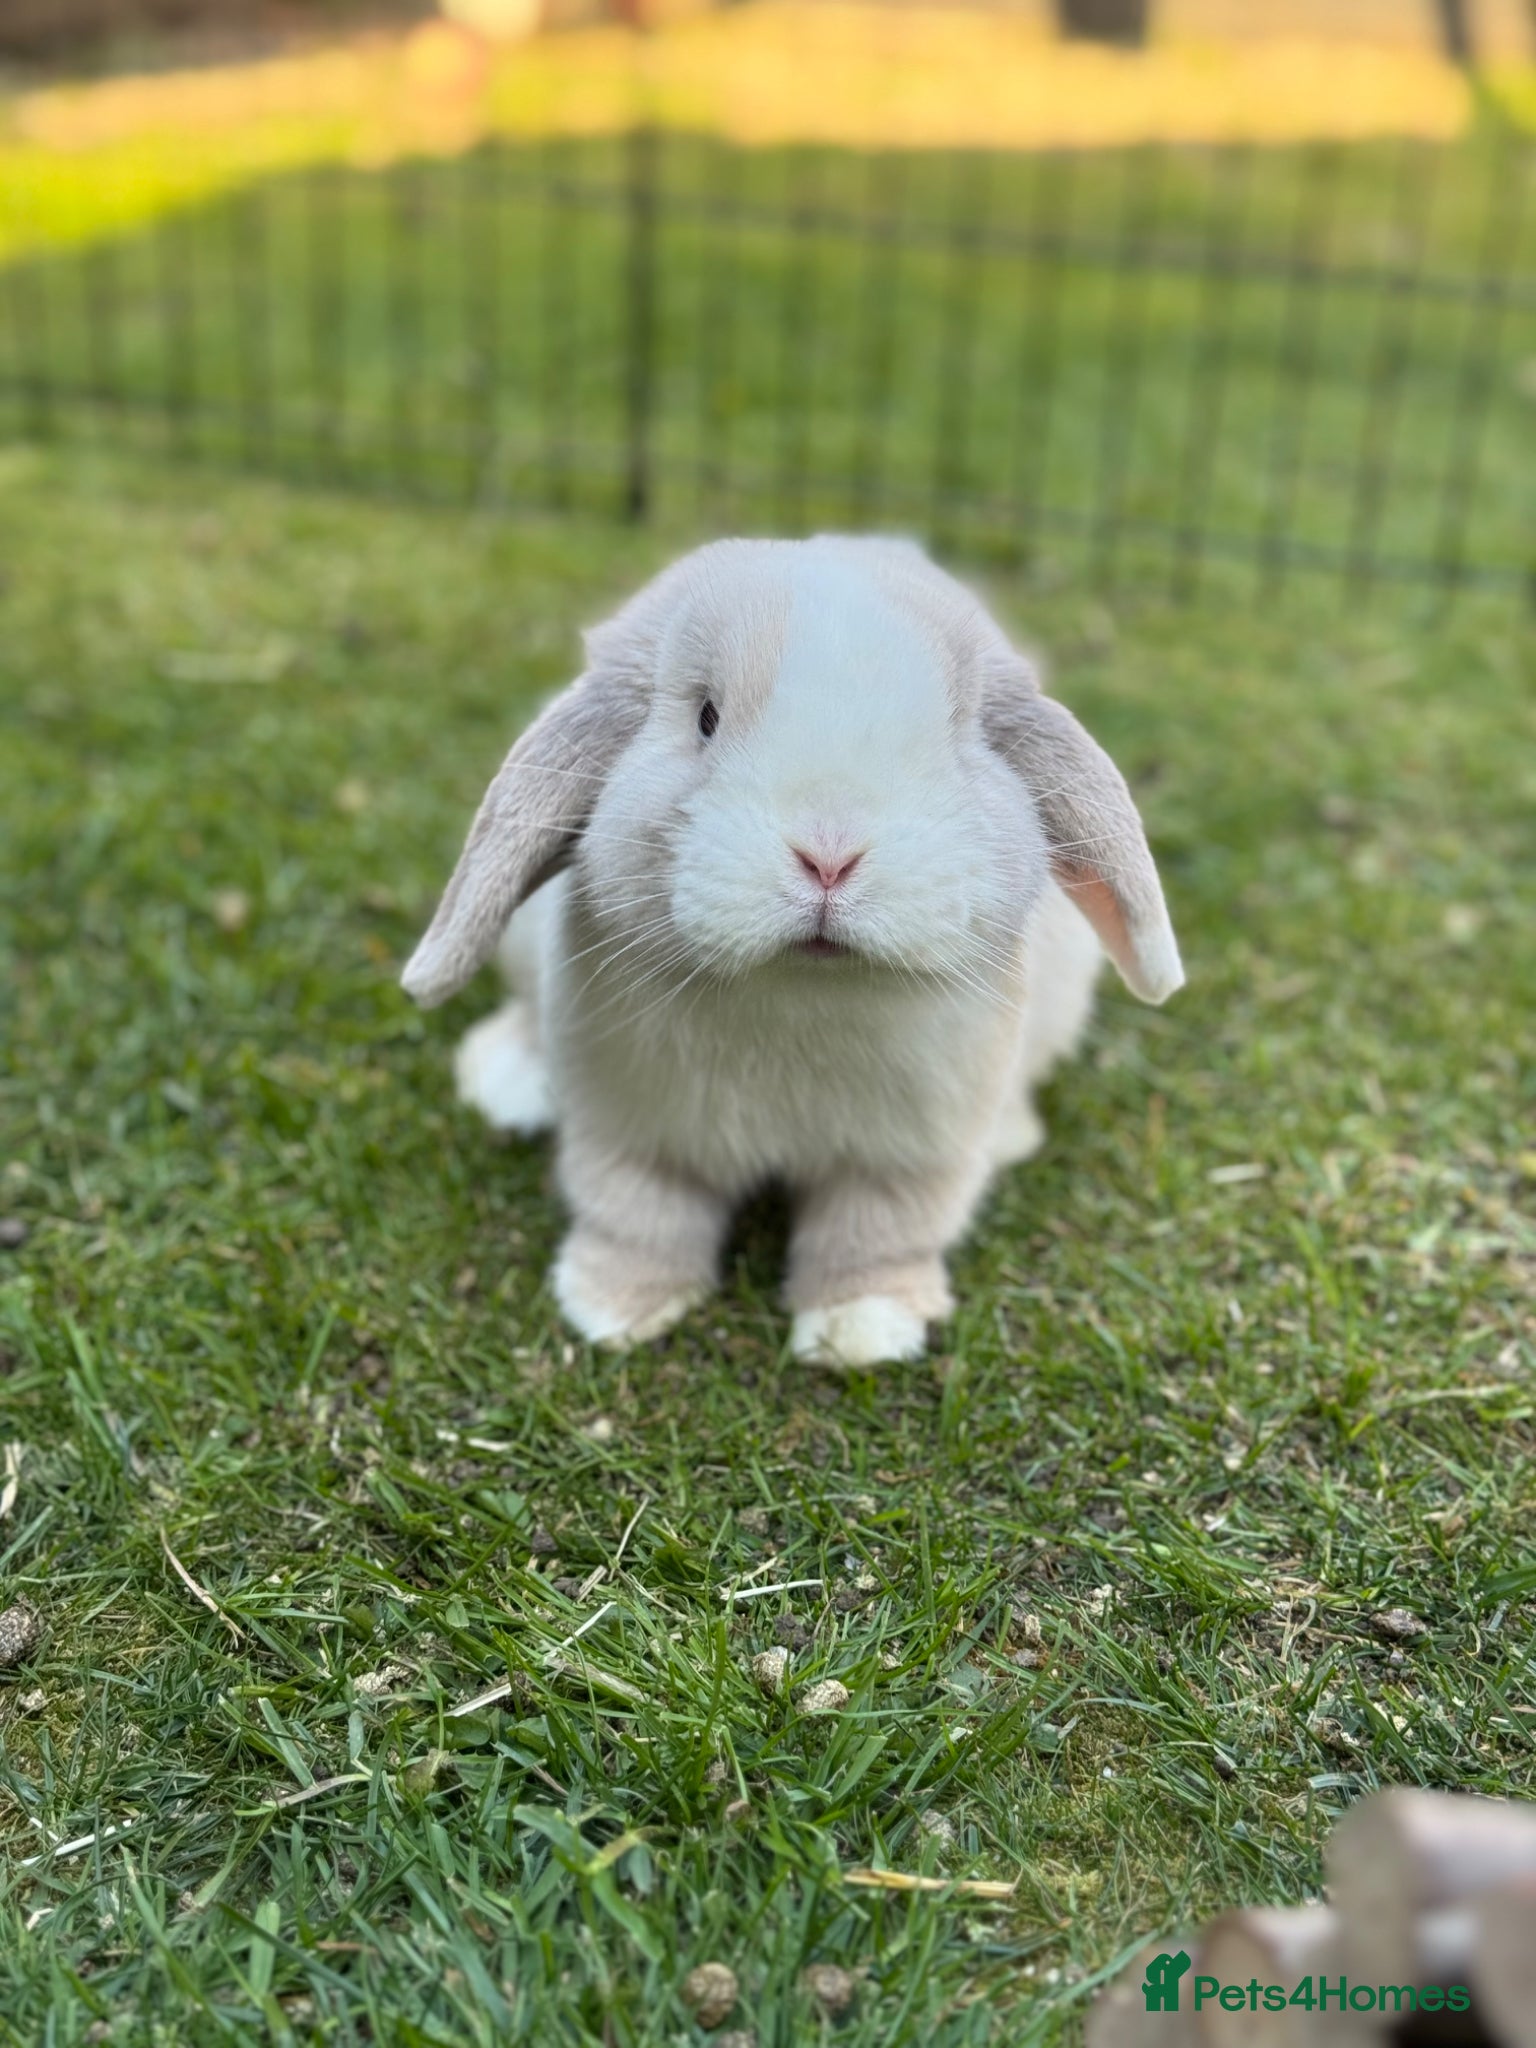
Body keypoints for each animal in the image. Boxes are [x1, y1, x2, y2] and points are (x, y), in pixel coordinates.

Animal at [402, 536, 1183, 1367]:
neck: (799, 994)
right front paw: (613, 1309)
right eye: (706, 718)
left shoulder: (909, 1160)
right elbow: (637, 1215)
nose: (830, 856)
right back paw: (507, 1081)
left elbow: (878, 1235)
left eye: (952, 731)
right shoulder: (629, 1133)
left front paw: (862, 1331)